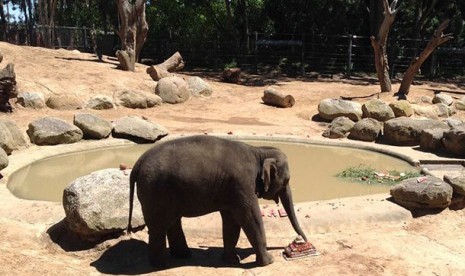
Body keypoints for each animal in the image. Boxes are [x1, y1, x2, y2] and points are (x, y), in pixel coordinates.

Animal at [127, 135, 308, 266]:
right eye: (287, 180)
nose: (303, 240)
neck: (258, 151)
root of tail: (137, 164)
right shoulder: (242, 184)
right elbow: (250, 217)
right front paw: (268, 262)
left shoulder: (231, 190)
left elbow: (231, 221)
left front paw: (232, 260)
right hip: (155, 191)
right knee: (159, 226)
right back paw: (161, 264)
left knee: (171, 222)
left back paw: (183, 256)